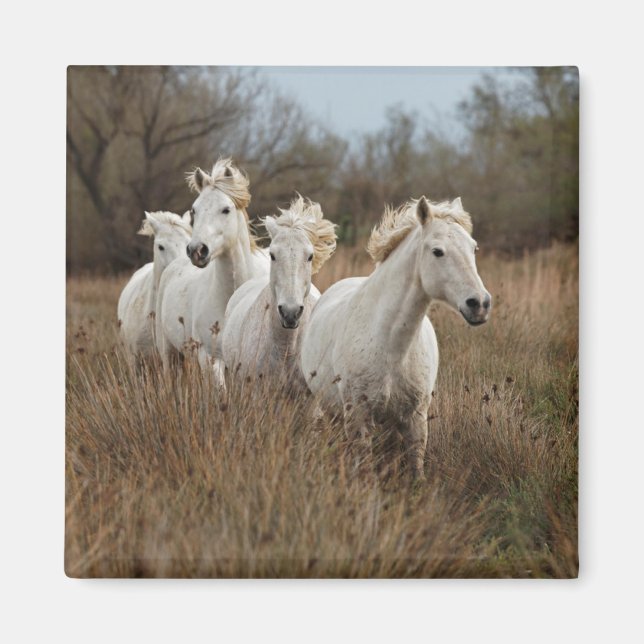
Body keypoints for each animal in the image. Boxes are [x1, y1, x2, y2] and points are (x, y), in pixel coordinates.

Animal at [299, 196, 491, 480]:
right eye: (437, 251)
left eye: (474, 248)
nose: (479, 304)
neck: (390, 347)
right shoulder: (358, 418)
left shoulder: (415, 419)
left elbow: (416, 470)